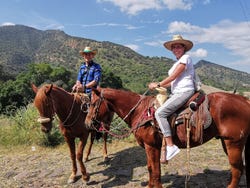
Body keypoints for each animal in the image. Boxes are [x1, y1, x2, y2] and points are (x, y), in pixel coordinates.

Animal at [84, 87, 250, 188]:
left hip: (233, 143)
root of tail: (245, 100)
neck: (140, 111)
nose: (87, 123)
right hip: (226, 142)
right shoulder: (149, 147)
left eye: (93, 103)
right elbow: (150, 168)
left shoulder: (152, 146)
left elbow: (156, 170)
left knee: (237, 169)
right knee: (239, 168)